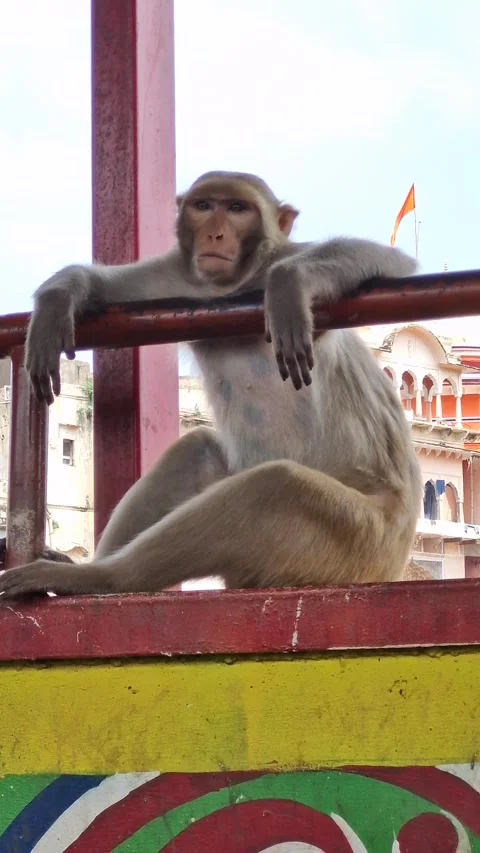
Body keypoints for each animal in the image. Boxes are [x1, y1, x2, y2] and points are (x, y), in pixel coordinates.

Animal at [0, 170, 422, 598]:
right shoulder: (176, 278)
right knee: (197, 449)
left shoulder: (281, 258)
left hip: (359, 541)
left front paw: (290, 285)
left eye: (237, 208)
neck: (230, 287)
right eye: (204, 206)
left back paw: (104, 578)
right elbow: (109, 287)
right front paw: (55, 301)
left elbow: (389, 261)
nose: (214, 234)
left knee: (275, 485)